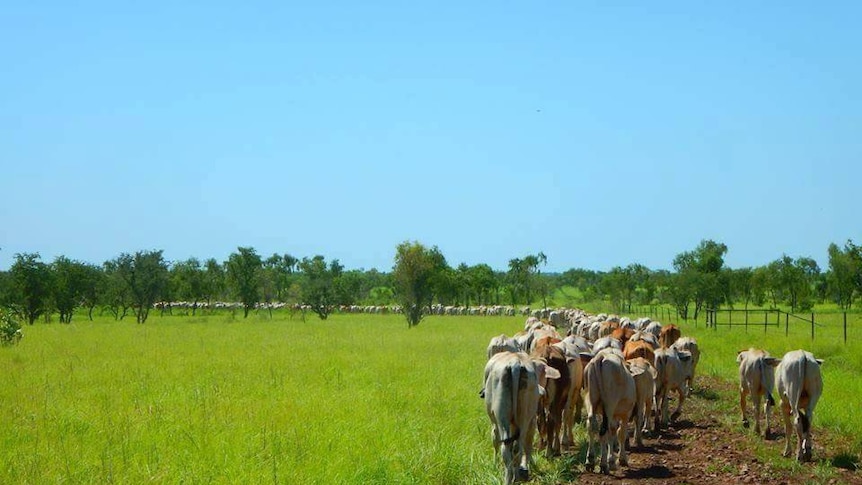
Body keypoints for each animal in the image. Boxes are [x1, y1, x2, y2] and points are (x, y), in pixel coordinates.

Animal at [482, 352, 564, 484]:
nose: (542, 392)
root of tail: (515, 363)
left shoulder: (495, 422)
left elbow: (495, 440)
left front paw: (495, 464)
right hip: (524, 417)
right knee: (517, 448)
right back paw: (516, 476)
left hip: (505, 419)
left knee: (508, 449)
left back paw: (509, 478)